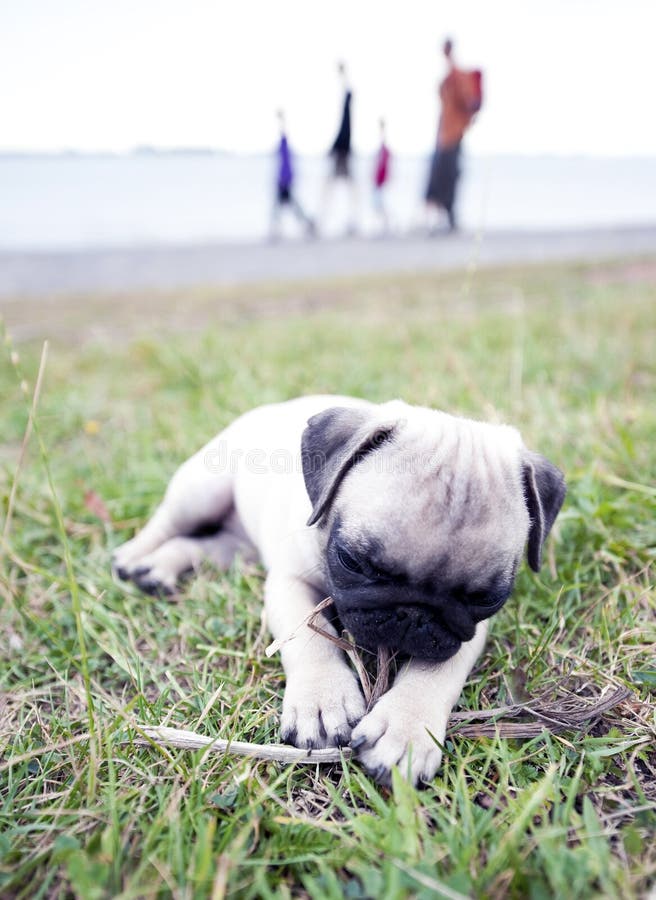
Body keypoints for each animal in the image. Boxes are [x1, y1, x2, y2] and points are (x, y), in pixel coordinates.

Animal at [113, 398, 564, 784]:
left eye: (487, 598)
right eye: (353, 561)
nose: (413, 615)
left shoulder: (469, 631)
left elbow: (439, 671)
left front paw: (407, 728)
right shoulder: (289, 583)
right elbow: (310, 640)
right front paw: (322, 701)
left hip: (234, 548)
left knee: (201, 547)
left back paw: (159, 569)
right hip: (202, 489)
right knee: (166, 522)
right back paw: (132, 557)